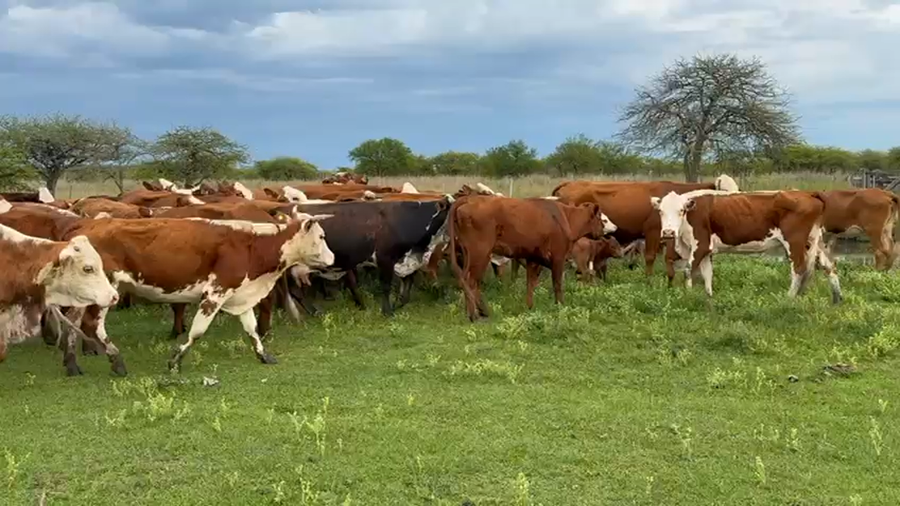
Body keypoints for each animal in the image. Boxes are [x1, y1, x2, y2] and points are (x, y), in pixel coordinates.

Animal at [448, 196, 613, 321]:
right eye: (603, 219)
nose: (615, 228)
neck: (565, 217)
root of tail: (470, 199)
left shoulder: (533, 258)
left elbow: (530, 284)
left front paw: (530, 307)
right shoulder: (558, 257)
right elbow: (557, 284)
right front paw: (560, 305)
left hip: (469, 254)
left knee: (466, 279)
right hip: (481, 253)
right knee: (471, 281)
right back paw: (475, 315)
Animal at [651, 190, 843, 303]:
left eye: (681, 211)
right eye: (660, 211)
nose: (668, 232)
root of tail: (808, 193)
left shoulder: (701, 245)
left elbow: (688, 270)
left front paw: (687, 296)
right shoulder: (707, 250)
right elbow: (707, 274)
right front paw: (709, 298)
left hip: (794, 242)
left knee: (799, 268)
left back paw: (789, 298)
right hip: (814, 241)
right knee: (829, 266)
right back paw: (837, 299)